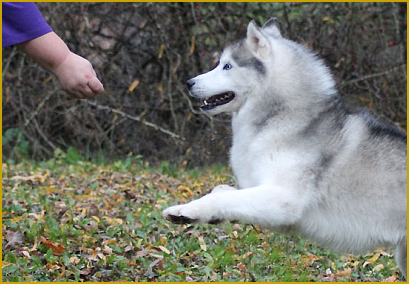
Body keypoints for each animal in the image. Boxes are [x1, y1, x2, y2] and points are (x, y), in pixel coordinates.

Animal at [162, 18, 404, 278]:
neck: (282, 119)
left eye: (227, 66)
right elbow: (222, 191)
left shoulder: (282, 200)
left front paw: (184, 211)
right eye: (220, 63)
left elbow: (223, 197)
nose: (189, 83)